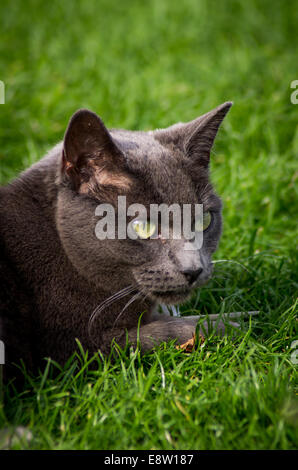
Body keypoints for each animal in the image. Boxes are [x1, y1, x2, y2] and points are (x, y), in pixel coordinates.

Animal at [0, 101, 235, 380]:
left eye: (204, 220)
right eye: (143, 226)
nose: (194, 269)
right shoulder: (78, 350)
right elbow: (171, 331)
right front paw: (244, 321)